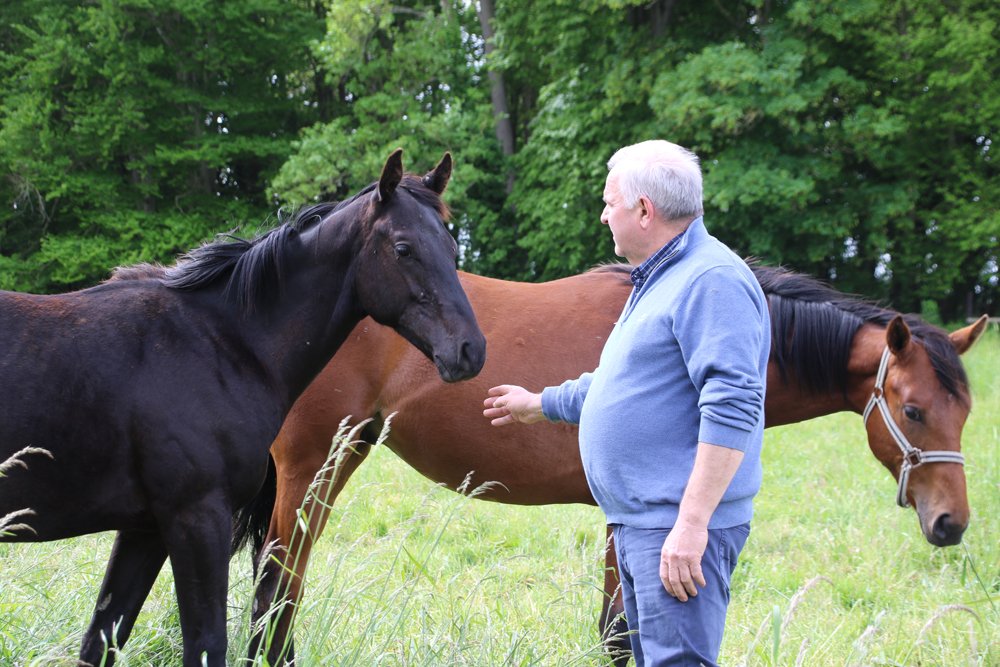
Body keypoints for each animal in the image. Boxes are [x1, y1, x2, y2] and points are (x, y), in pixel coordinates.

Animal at [0, 150, 486, 667]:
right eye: (403, 248)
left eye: (451, 248)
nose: (470, 350)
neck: (221, 342)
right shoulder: (197, 519)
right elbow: (207, 643)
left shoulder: (145, 529)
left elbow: (102, 638)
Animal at [242, 263, 987, 665]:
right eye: (913, 410)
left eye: (966, 412)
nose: (951, 522)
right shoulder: (631, 519)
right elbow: (620, 633)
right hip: (310, 464)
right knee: (276, 585)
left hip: (340, 455)